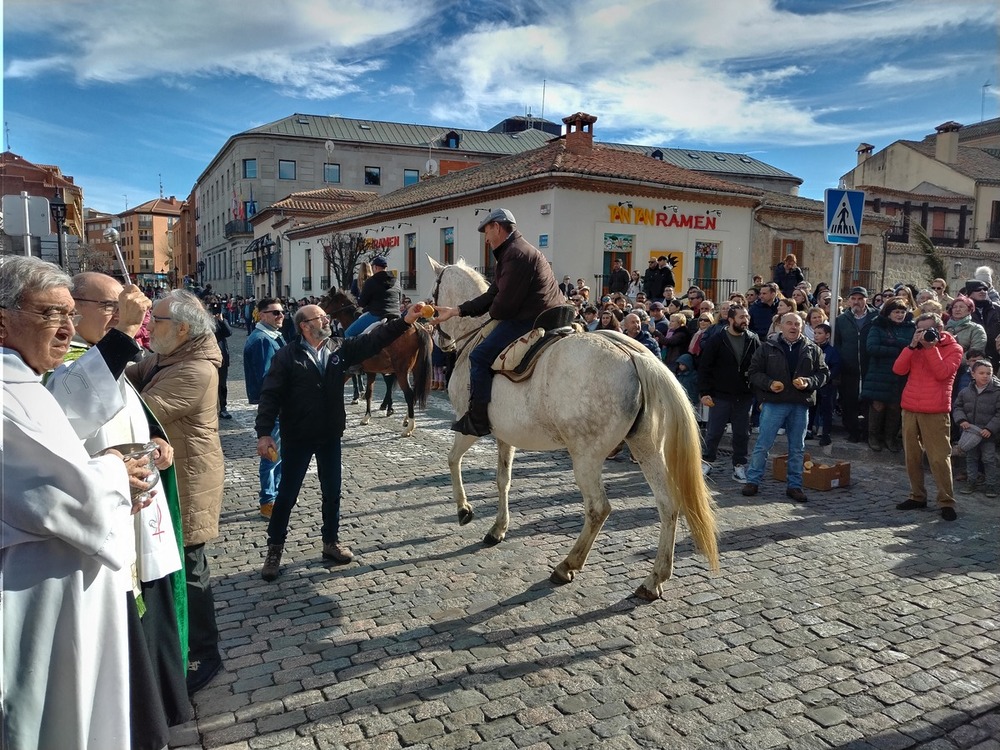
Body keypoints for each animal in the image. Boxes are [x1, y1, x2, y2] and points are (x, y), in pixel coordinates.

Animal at [320, 290, 430, 438]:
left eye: (325, 301)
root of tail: (417, 328)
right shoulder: (371, 371)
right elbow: (369, 393)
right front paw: (367, 416)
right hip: (415, 370)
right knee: (414, 392)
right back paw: (405, 418)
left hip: (402, 371)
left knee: (409, 394)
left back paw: (409, 427)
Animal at [430, 258, 720, 600]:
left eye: (434, 294)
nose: (440, 341)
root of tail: (634, 355)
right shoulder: (505, 436)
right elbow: (503, 481)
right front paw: (498, 528)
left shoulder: (470, 428)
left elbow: (452, 460)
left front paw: (464, 510)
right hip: (646, 449)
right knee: (667, 504)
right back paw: (653, 580)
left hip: (586, 457)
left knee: (598, 508)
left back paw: (567, 565)